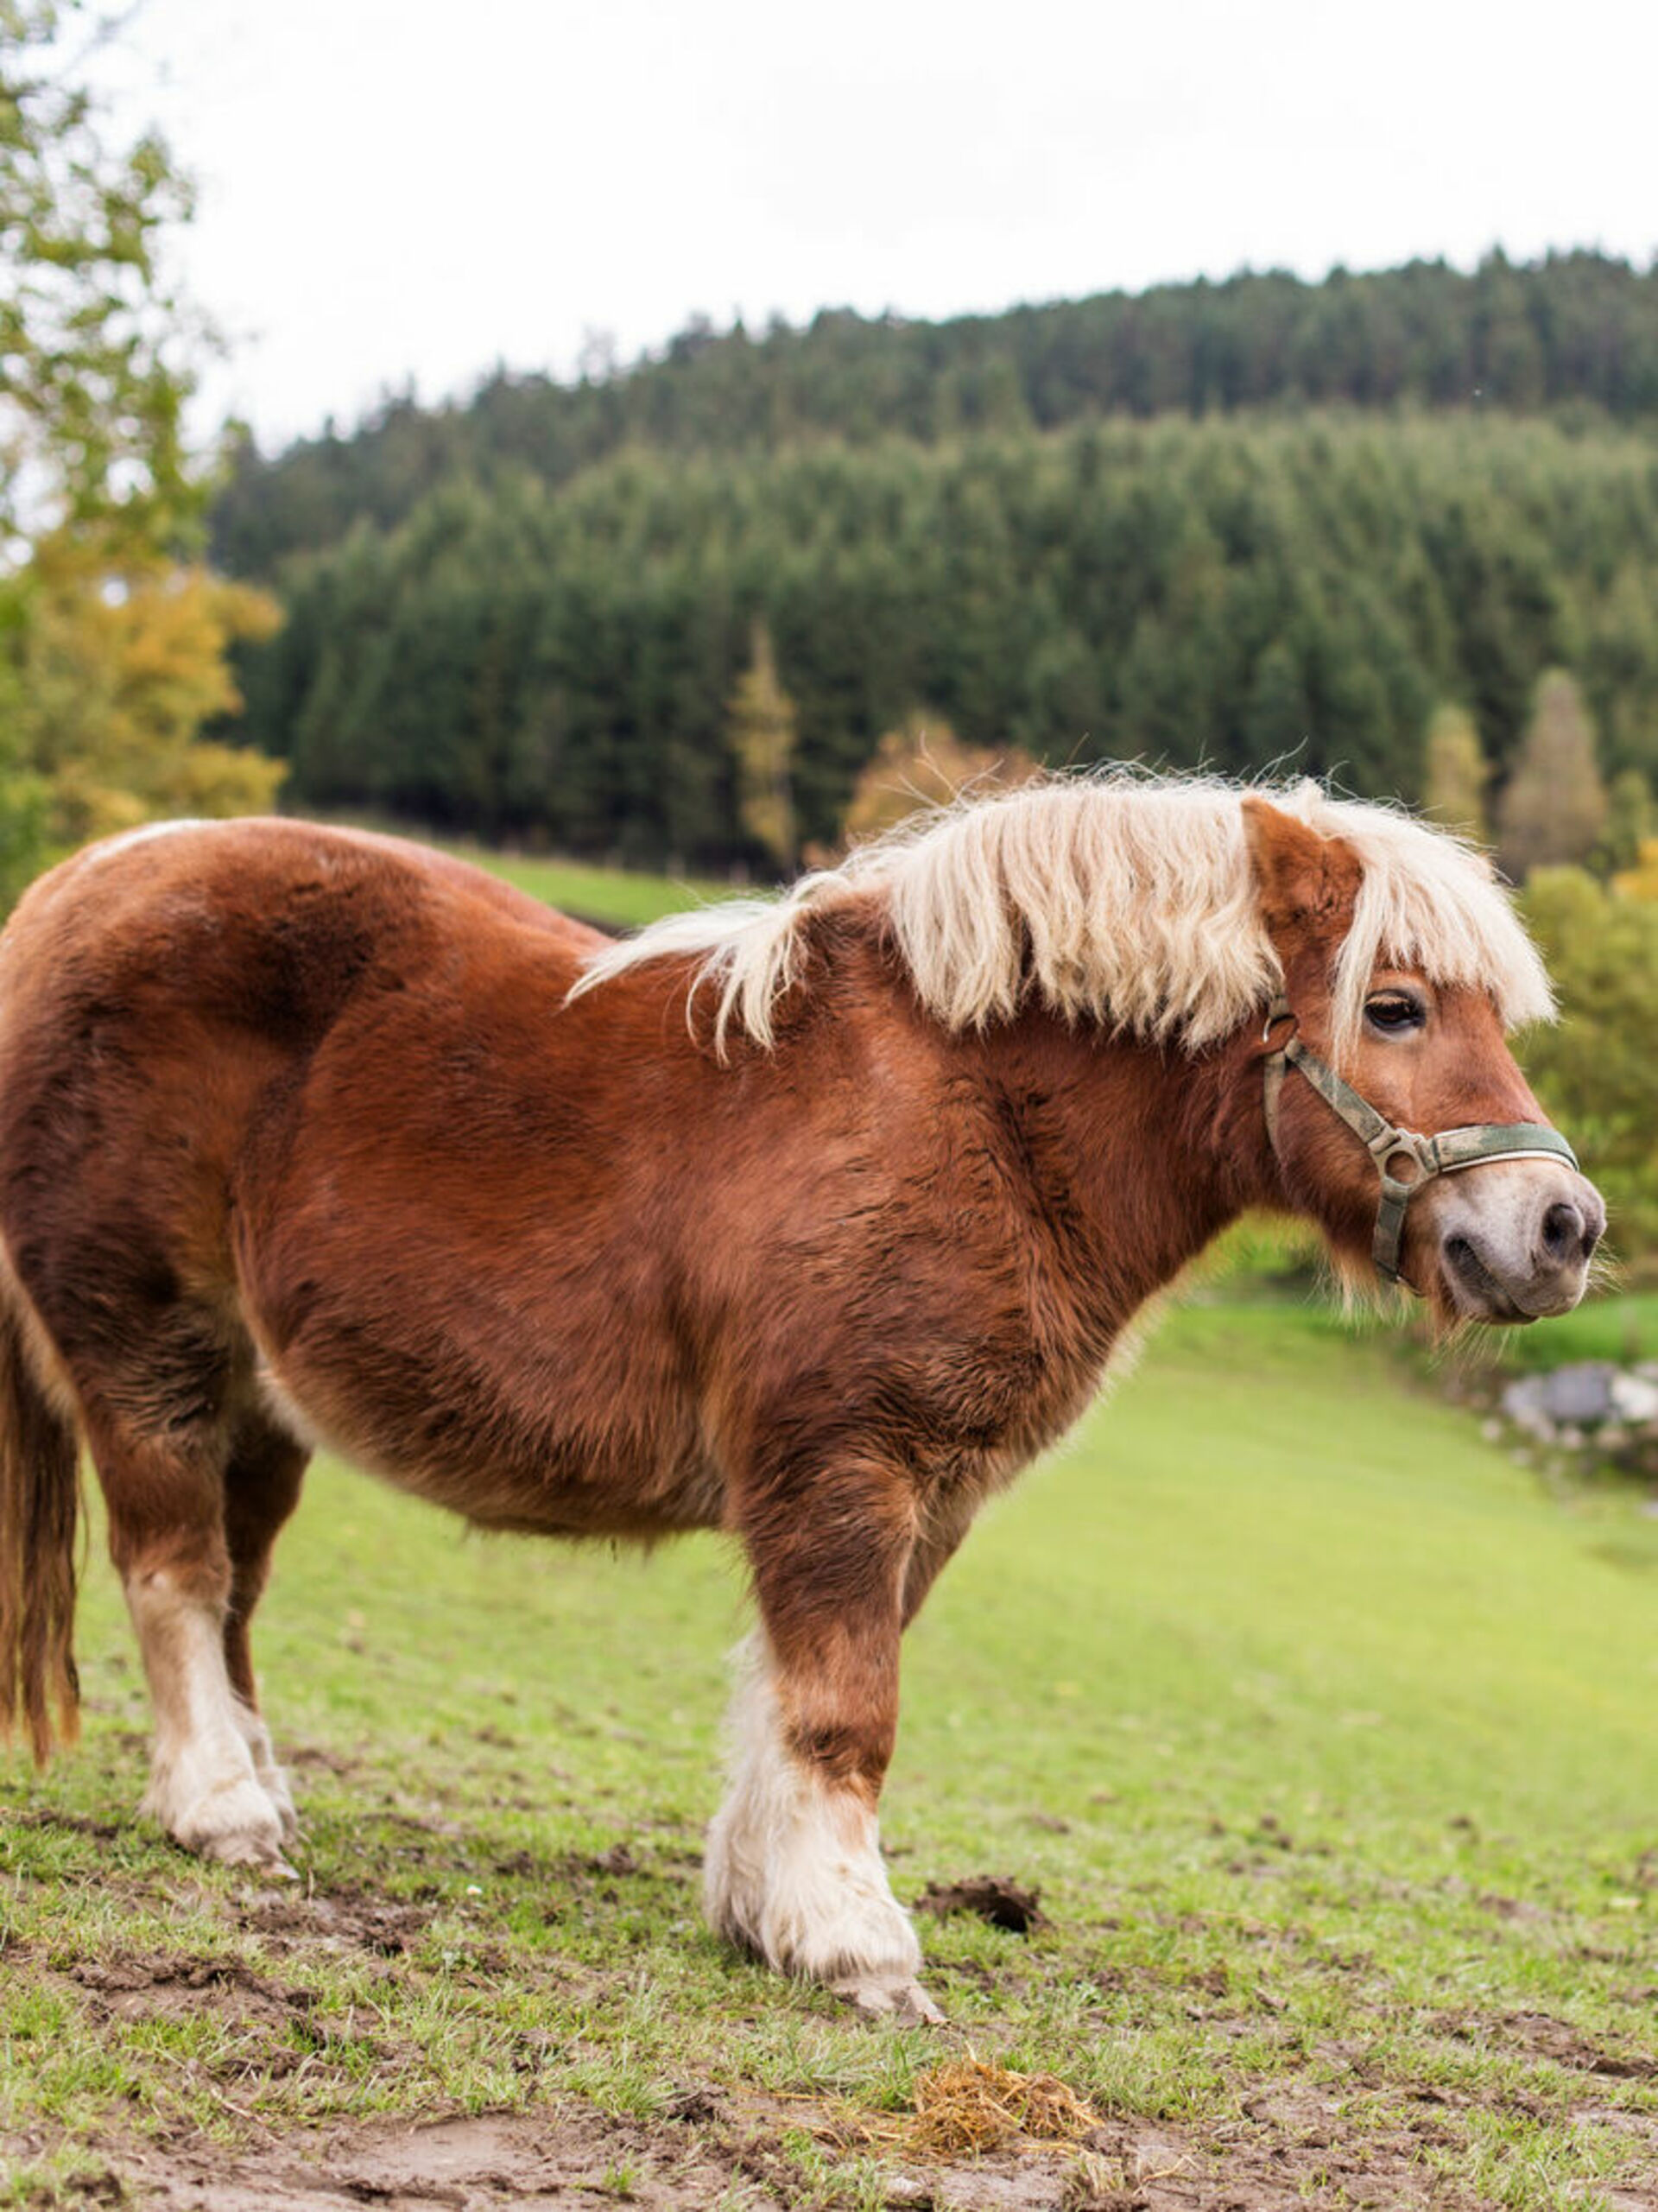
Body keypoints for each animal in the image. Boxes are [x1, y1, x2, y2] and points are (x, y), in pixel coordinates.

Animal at [0, 779, 1603, 2022]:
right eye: (1394, 1008)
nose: (1563, 1227)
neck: (976, 1115)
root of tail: (73, 890)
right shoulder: (841, 1464)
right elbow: (844, 1706)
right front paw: (852, 1941)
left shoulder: (925, 1496)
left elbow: (793, 1696)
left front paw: (763, 1909)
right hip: (147, 1350)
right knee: (174, 1571)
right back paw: (220, 1812)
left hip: (264, 1404)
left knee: (236, 1593)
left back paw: (258, 1789)